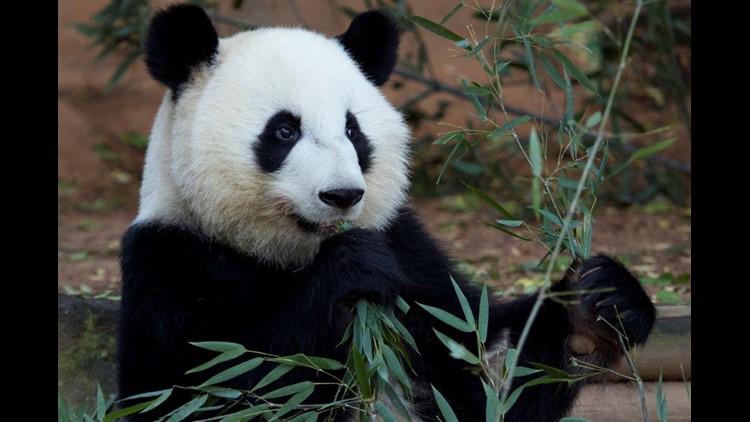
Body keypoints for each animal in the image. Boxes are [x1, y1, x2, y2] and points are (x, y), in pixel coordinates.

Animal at [117, 4, 657, 421]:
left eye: (353, 130)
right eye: (284, 131)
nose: (341, 196)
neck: (289, 253)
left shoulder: (412, 254)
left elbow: (484, 363)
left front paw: (595, 307)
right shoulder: (171, 259)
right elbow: (208, 388)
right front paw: (350, 270)